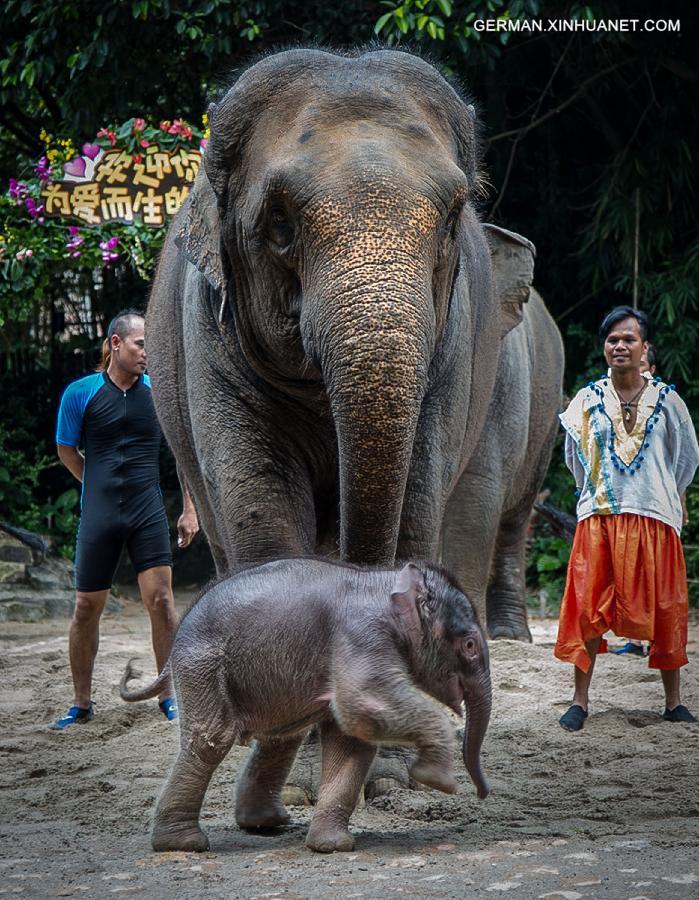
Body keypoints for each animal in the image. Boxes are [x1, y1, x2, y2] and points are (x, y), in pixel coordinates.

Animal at [120, 560, 492, 856]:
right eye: (470, 645)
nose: (482, 794)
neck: (387, 580)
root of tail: (175, 643)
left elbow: (352, 737)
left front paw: (331, 846)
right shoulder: (363, 636)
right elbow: (362, 707)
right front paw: (438, 780)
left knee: (280, 738)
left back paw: (268, 823)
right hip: (203, 665)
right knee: (212, 740)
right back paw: (183, 844)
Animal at [146, 47, 564, 640]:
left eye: (451, 220)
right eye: (279, 222)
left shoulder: (461, 355)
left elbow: (423, 496)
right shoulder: (206, 332)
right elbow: (260, 496)